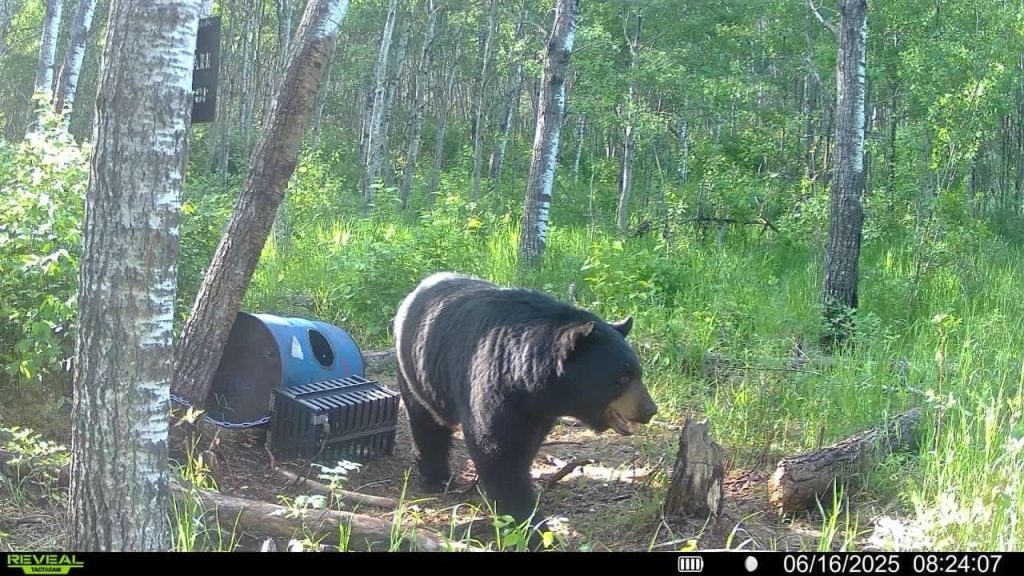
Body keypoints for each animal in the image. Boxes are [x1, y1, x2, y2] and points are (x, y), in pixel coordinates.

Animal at [392, 272, 658, 545]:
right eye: (622, 377)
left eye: (638, 373)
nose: (650, 409)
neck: (527, 381)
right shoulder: (493, 384)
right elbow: (498, 451)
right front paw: (531, 527)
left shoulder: (538, 411)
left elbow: (527, 445)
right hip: (416, 369)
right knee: (426, 421)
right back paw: (436, 477)